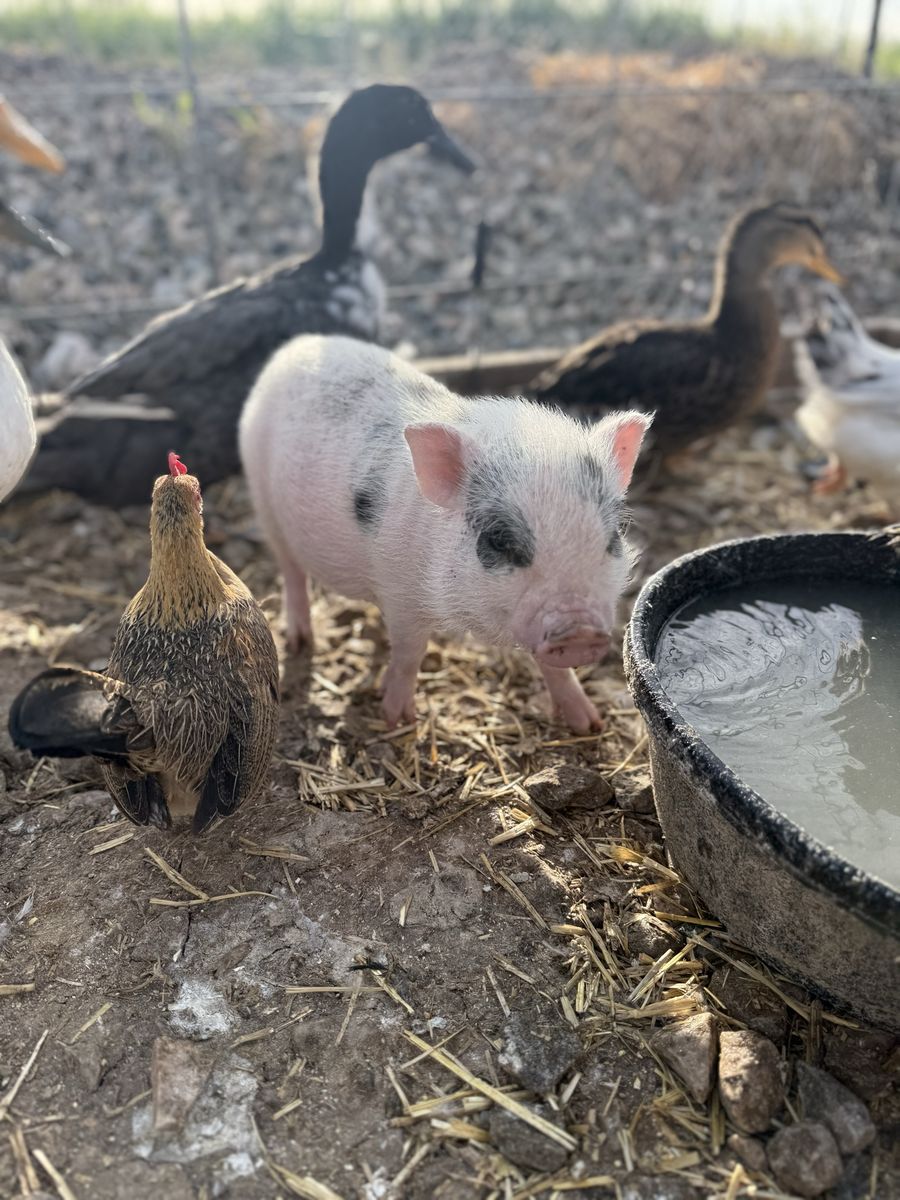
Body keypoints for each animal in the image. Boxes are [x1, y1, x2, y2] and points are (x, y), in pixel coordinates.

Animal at [238, 335, 650, 732]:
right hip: (261, 494)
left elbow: (555, 669)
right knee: (291, 571)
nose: (580, 633)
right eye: (499, 541)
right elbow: (409, 654)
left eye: (612, 538)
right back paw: (300, 642)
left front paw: (590, 724)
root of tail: (294, 347)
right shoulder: (402, 595)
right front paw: (397, 719)